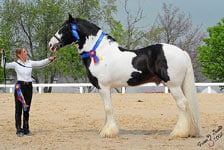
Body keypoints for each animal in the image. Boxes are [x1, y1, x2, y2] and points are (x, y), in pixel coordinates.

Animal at [48, 14, 201, 138]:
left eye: (63, 29)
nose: (51, 44)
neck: (100, 52)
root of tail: (182, 52)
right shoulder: (106, 88)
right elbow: (107, 109)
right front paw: (107, 129)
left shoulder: (103, 87)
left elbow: (108, 108)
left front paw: (108, 133)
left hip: (173, 85)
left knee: (182, 104)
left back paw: (178, 133)